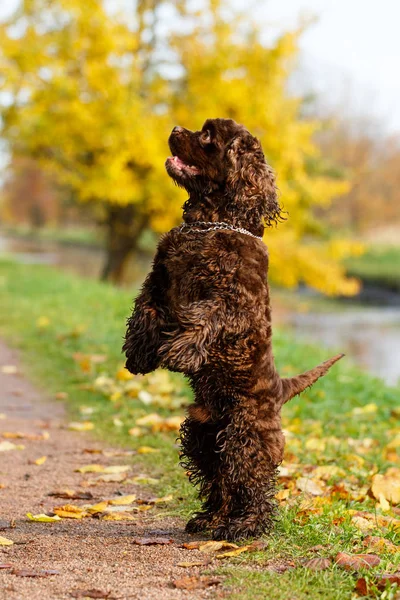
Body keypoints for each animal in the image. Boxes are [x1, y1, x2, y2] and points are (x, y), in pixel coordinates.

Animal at [122, 119, 344, 540]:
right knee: (221, 480)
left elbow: (202, 318)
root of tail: (280, 389)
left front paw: (177, 352)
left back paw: (244, 526)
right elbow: (144, 311)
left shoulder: (234, 302)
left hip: (245, 435)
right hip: (203, 435)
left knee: (252, 484)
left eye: (209, 135)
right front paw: (139, 355)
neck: (211, 222)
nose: (175, 127)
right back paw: (210, 518)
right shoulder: (159, 278)